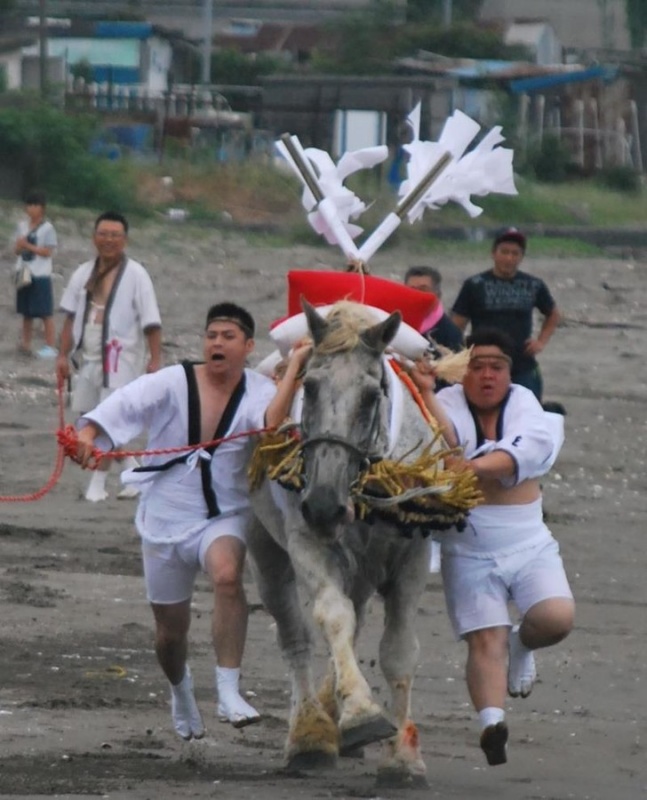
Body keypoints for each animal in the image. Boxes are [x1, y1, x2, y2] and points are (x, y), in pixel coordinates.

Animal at [247, 296, 466, 784]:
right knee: (295, 636)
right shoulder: (306, 542)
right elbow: (332, 617)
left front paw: (402, 758)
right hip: (266, 550)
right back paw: (311, 733)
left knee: (358, 617)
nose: (323, 505)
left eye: (370, 396)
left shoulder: (412, 555)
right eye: (308, 387)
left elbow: (398, 651)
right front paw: (361, 713)